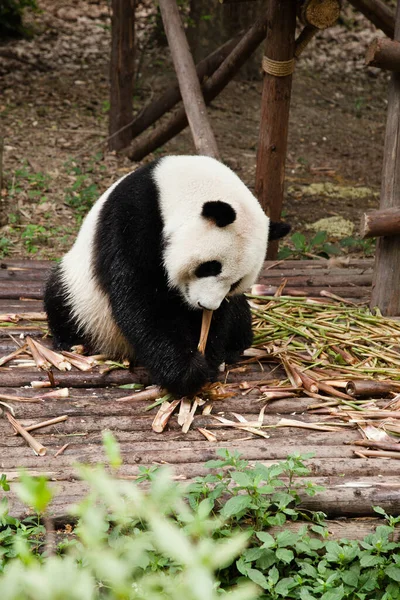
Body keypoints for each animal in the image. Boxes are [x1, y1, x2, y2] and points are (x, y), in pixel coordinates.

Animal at [44, 157, 290, 396]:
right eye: (210, 267)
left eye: (235, 283)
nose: (205, 305)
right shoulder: (132, 219)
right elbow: (141, 296)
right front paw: (186, 371)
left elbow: (219, 317)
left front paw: (207, 358)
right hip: (83, 297)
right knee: (60, 300)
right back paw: (71, 341)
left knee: (240, 314)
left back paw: (235, 346)